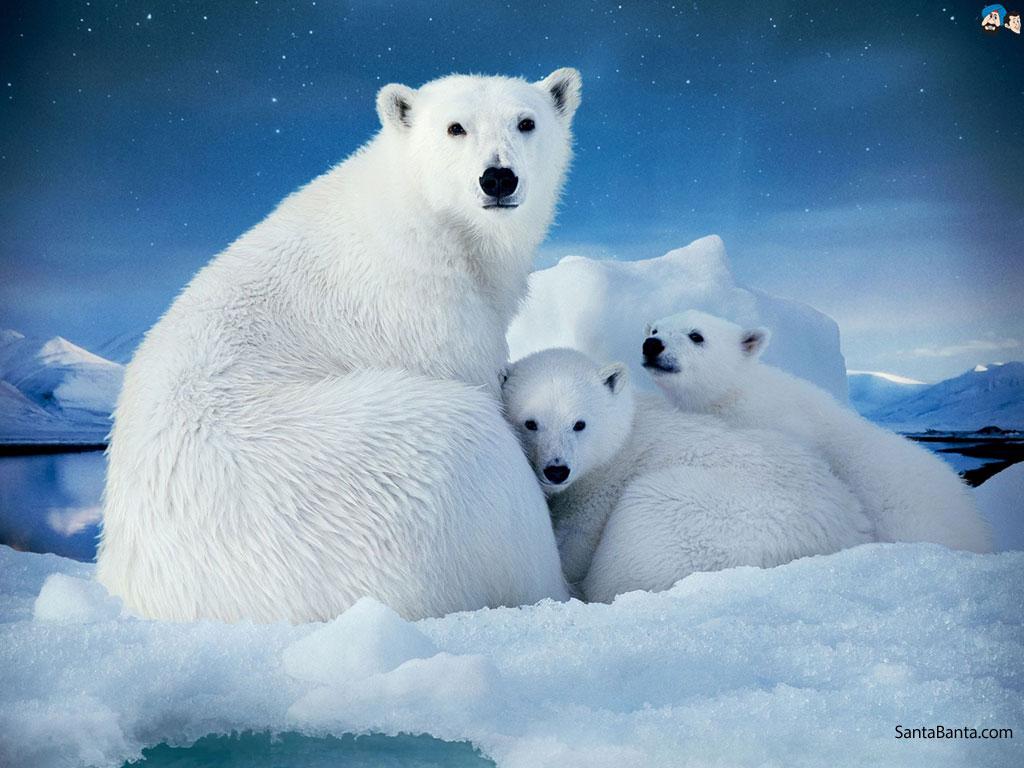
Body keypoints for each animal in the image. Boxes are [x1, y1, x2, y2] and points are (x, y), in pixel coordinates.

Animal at [500, 348, 872, 602]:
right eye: (531, 422)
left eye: (579, 423)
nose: (556, 469)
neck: (622, 439)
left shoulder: (601, 490)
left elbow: (575, 541)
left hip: (707, 517)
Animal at [642, 309, 992, 553]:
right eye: (656, 327)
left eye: (696, 336)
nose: (651, 344)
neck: (733, 393)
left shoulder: (777, 423)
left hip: (914, 518)